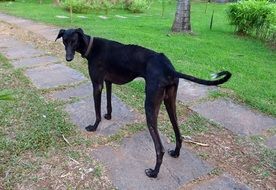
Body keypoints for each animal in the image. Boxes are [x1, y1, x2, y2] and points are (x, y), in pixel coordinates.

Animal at [55, 28, 231, 178]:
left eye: (74, 41)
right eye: (64, 41)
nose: (68, 58)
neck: (91, 46)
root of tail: (170, 69)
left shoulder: (97, 85)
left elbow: (97, 110)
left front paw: (94, 126)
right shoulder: (108, 81)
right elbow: (109, 103)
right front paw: (109, 116)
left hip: (150, 107)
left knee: (159, 148)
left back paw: (154, 172)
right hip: (169, 102)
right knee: (178, 133)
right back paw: (175, 153)